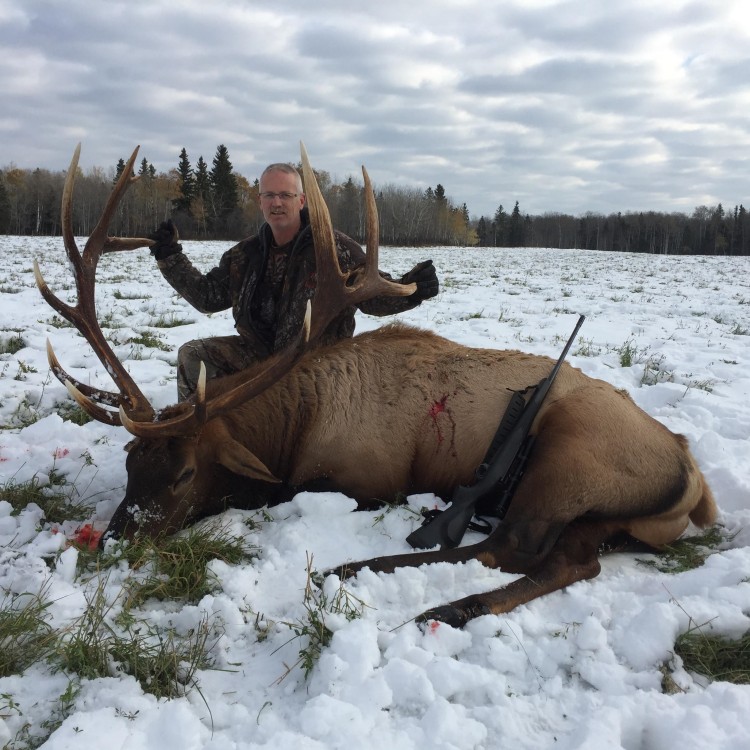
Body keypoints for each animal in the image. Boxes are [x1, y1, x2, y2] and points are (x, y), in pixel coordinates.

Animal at [35, 143, 717, 628]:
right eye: (130, 462)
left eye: (181, 473)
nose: (112, 542)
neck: (297, 426)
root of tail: (693, 475)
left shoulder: (365, 476)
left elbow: (283, 494)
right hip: (596, 515)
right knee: (570, 559)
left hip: (569, 458)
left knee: (513, 546)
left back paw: (382, 576)